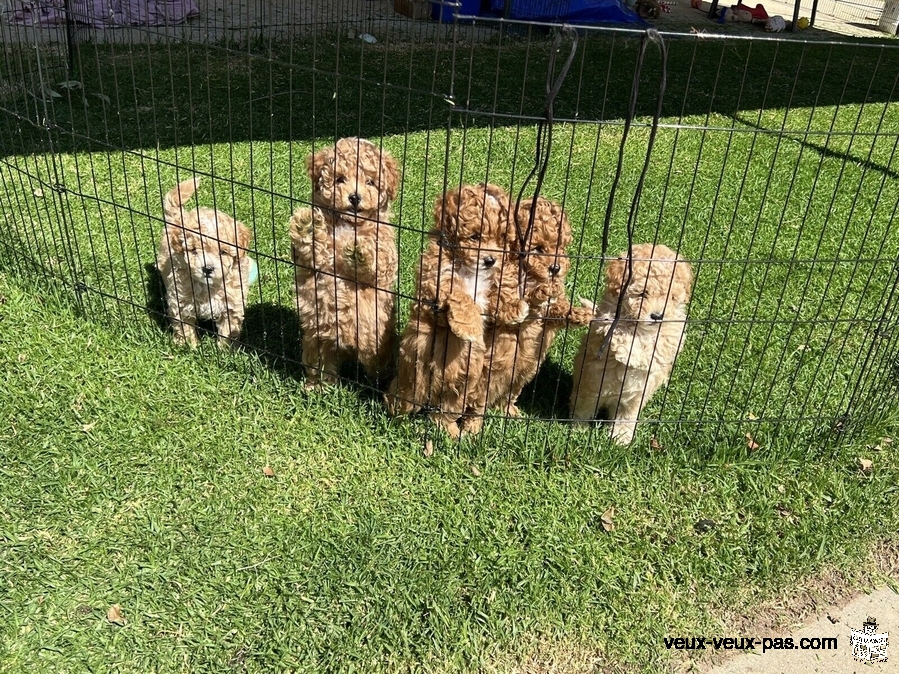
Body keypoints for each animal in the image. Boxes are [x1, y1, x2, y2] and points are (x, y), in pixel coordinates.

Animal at [156, 176, 255, 346]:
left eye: (223, 252)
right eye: (194, 250)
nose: (207, 268)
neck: (209, 287)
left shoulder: (232, 304)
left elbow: (228, 330)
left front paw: (225, 349)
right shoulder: (181, 300)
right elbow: (184, 326)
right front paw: (189, 346)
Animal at [290, 136, 400, 388]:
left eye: (370, 182)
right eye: (340, 179)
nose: (355, 197)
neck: (349, 223)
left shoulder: (386, 251)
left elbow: (379, 261)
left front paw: (361, 250)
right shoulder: (314, 259)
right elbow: (312, 252)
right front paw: (307, 227)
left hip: (378, 341)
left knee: (380, 364)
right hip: (317, 339)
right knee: (321, 364)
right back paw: (317, 387)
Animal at [384, 182, 528, 436]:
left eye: (501, 239)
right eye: (474, 236)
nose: (490, 260)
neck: (472, 269)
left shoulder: (490, 284)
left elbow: (500, 288)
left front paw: (514, 307)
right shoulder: (436, 277)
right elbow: (461, 295)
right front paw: (469, 326)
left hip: (464, 384)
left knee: (443, 414)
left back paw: (452, 433)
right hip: (411, 377)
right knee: (402, 398)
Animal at [568, 244, 696, 444]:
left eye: (671, 297)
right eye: (642, 294)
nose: (657, 316)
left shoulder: (673, 326)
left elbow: (666, 339)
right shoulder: (607, 319)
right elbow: (618, 333)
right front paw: (631, 352)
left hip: (632, 400)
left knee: (625, 416)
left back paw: (620, 438)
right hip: (589, 387)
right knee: (583, 406)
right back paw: (578, 428)